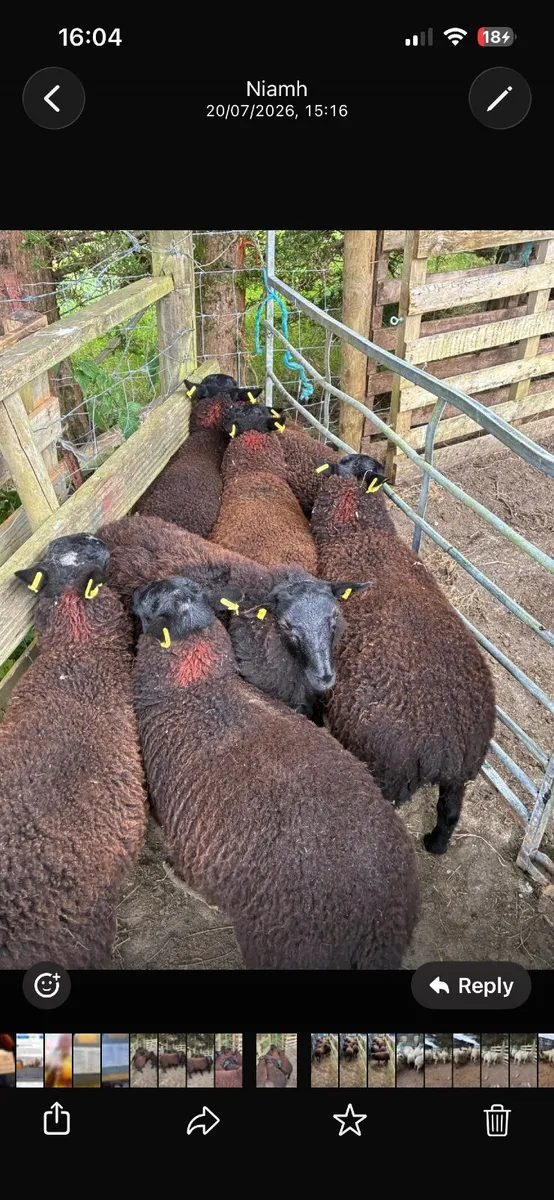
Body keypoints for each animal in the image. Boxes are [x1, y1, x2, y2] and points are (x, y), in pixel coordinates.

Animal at [311, 454, 496, 854]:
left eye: (347, 463)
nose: (332, 460)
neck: (362, 530)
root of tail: (447, 749)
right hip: (461, 777)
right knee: (450, 812)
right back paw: (435, 845)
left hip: (386, 773)